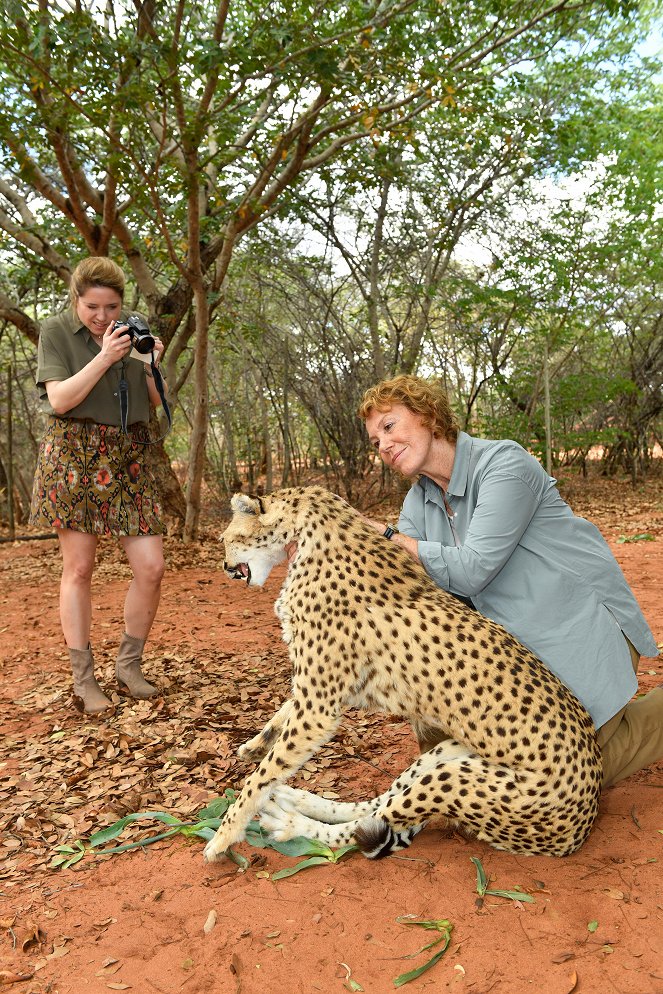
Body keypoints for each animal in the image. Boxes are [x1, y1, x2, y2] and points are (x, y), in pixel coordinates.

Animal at [205, 484, 604, 856]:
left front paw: (225, 833)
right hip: (447, 754)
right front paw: (255, 744)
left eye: (226, 541)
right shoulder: (324, 692)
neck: (309, 528)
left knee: (364, 827)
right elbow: (283, 712)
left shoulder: (319, 707)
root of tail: (583, 824)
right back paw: (297, 800)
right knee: (376, 806)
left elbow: (260, 777)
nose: (225, 569)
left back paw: (288, 823)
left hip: (459, 783)